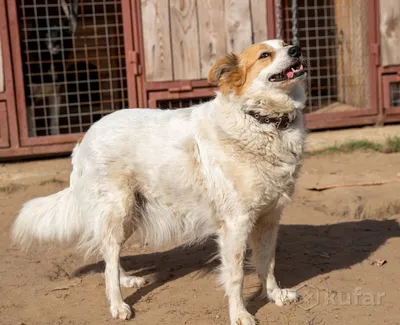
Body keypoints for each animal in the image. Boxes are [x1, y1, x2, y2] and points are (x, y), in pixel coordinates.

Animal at [11, 39, 306, 322]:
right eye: (264, 55)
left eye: (284, 43)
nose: (297, 48)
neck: (261, 121)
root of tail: (85, 136)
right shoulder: (236, 223)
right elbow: (236, 277)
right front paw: (240, 314)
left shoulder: (269, 218)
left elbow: (267, 263)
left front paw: (275, 295)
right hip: (118, 210)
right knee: (108, 261)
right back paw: (117, 305)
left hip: (129, 215)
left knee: (109, 255)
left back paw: (125, 280)